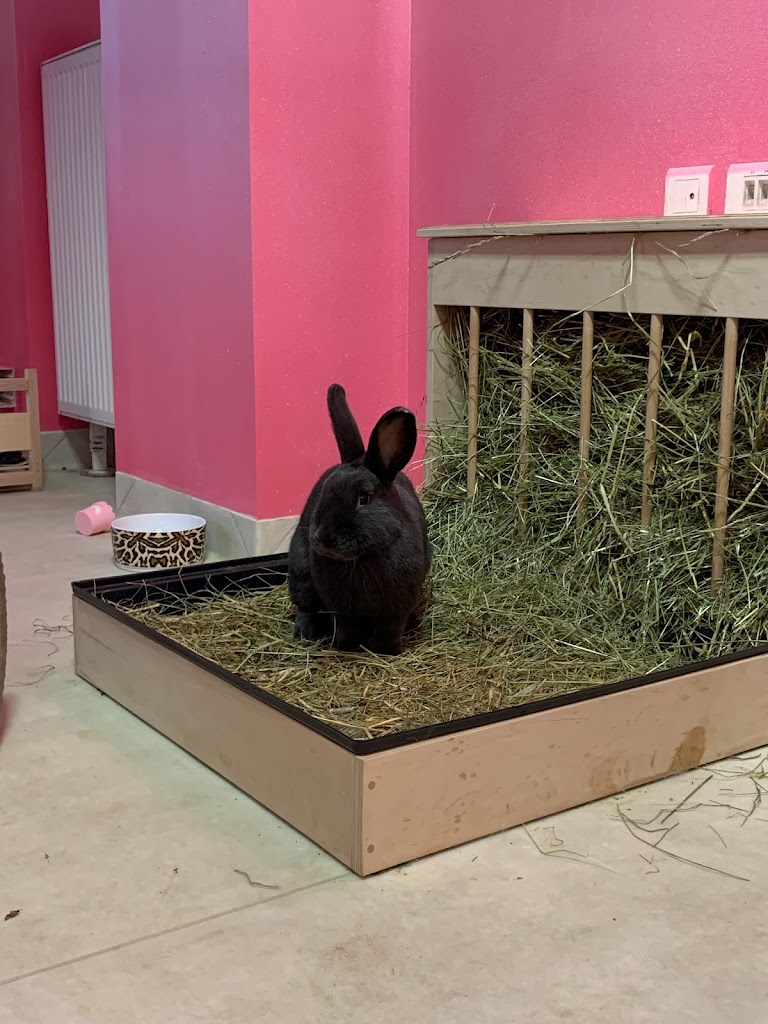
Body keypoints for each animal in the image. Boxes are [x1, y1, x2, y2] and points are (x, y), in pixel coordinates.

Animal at [288, 383, 432, 656]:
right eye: (324, 492)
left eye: (363, 498)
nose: (322, 537)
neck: (362, 559)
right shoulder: (342, 609)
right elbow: (348, 628)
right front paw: (349, 648)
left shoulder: (396, 609)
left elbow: (389, 630)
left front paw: (386, 652)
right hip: (300, 573)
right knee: (306, 607)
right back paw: (305, 633)